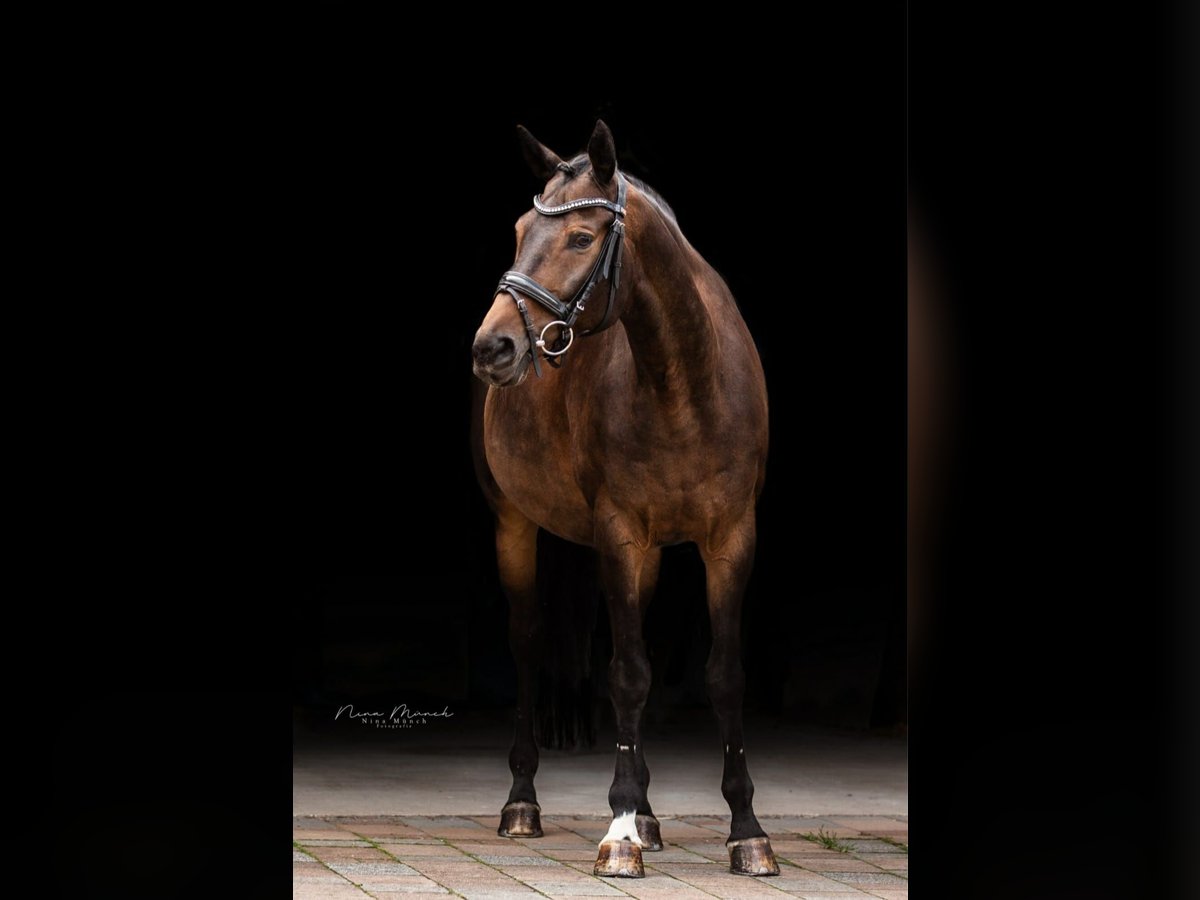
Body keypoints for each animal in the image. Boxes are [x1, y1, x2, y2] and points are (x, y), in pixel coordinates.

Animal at [470, 121, 777, 883]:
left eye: (582, 237)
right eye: (519, 231)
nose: (493, 346)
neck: (685, 385)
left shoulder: (732, 537)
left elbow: (723, 675)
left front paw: (747, 831)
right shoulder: (618, 533)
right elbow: (629, 675)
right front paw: (620, 832)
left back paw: (653, 814)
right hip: (513, 522)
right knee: (528, 643)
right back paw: (523, 804)